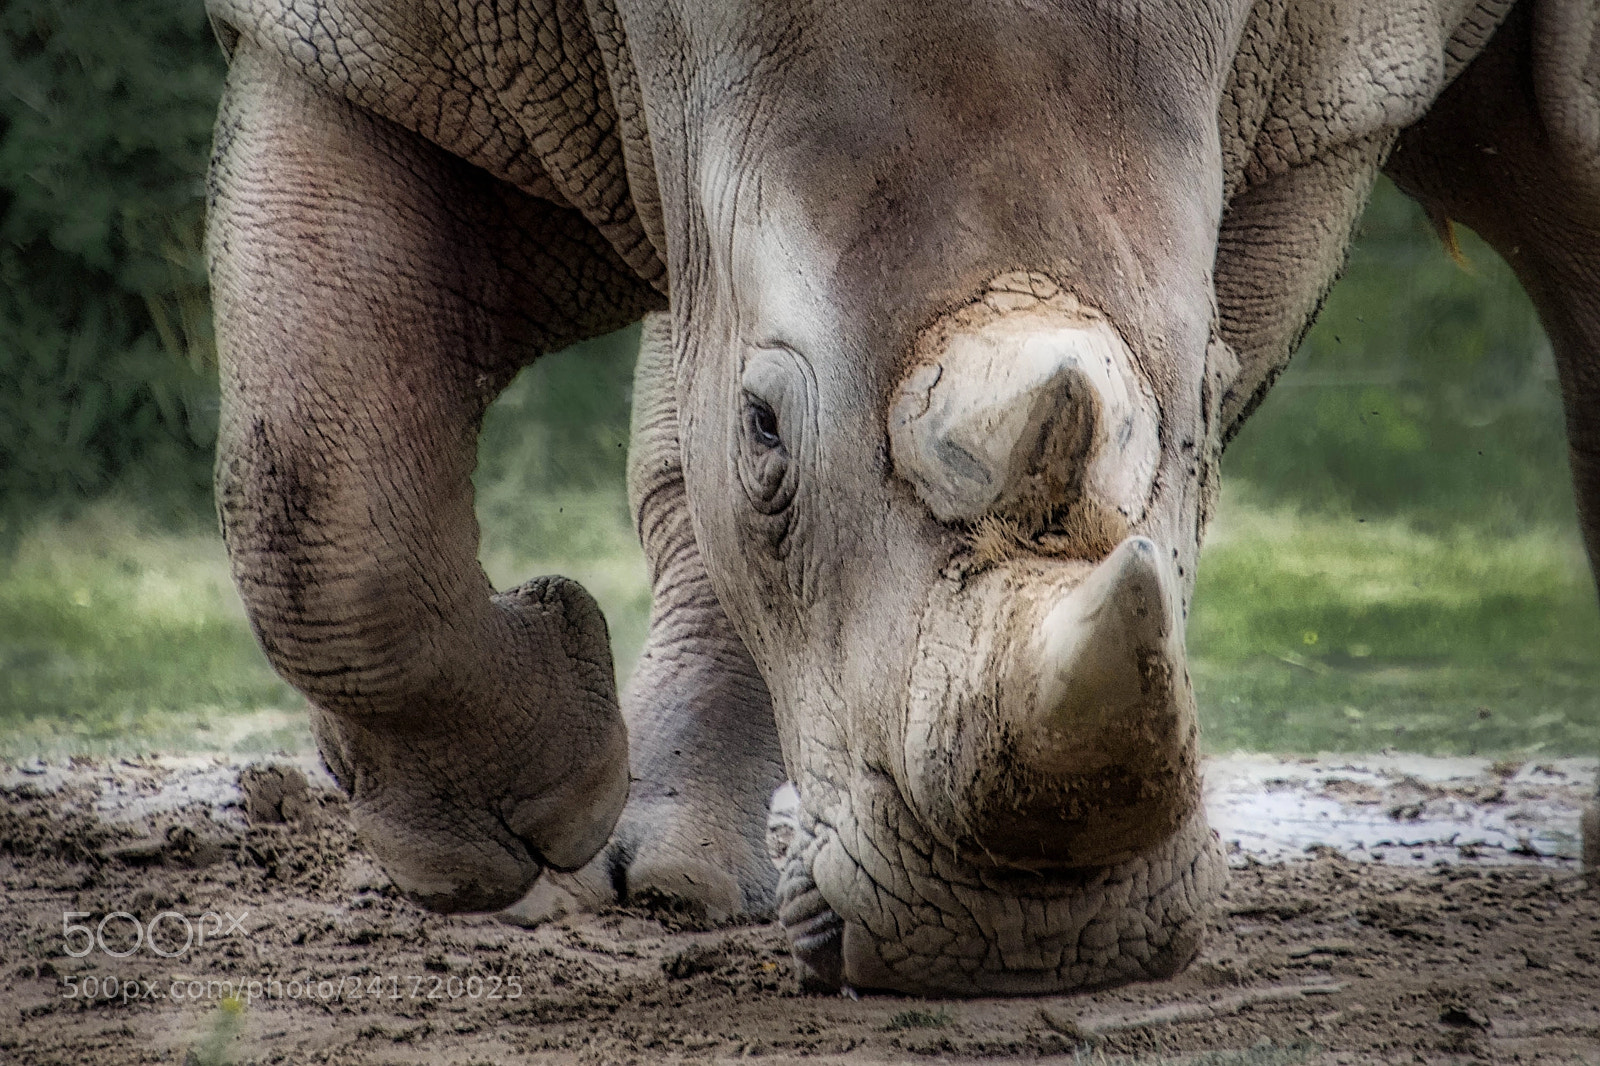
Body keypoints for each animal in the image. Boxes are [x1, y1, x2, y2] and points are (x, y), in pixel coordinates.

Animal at [204, 0, 1600, 995]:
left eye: (1203, 432)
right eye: (764, 429)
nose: (1026, 944)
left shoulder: (1326, 93)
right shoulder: (361, 42)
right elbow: (318, 479)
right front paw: (497, 834)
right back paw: (625, 880)